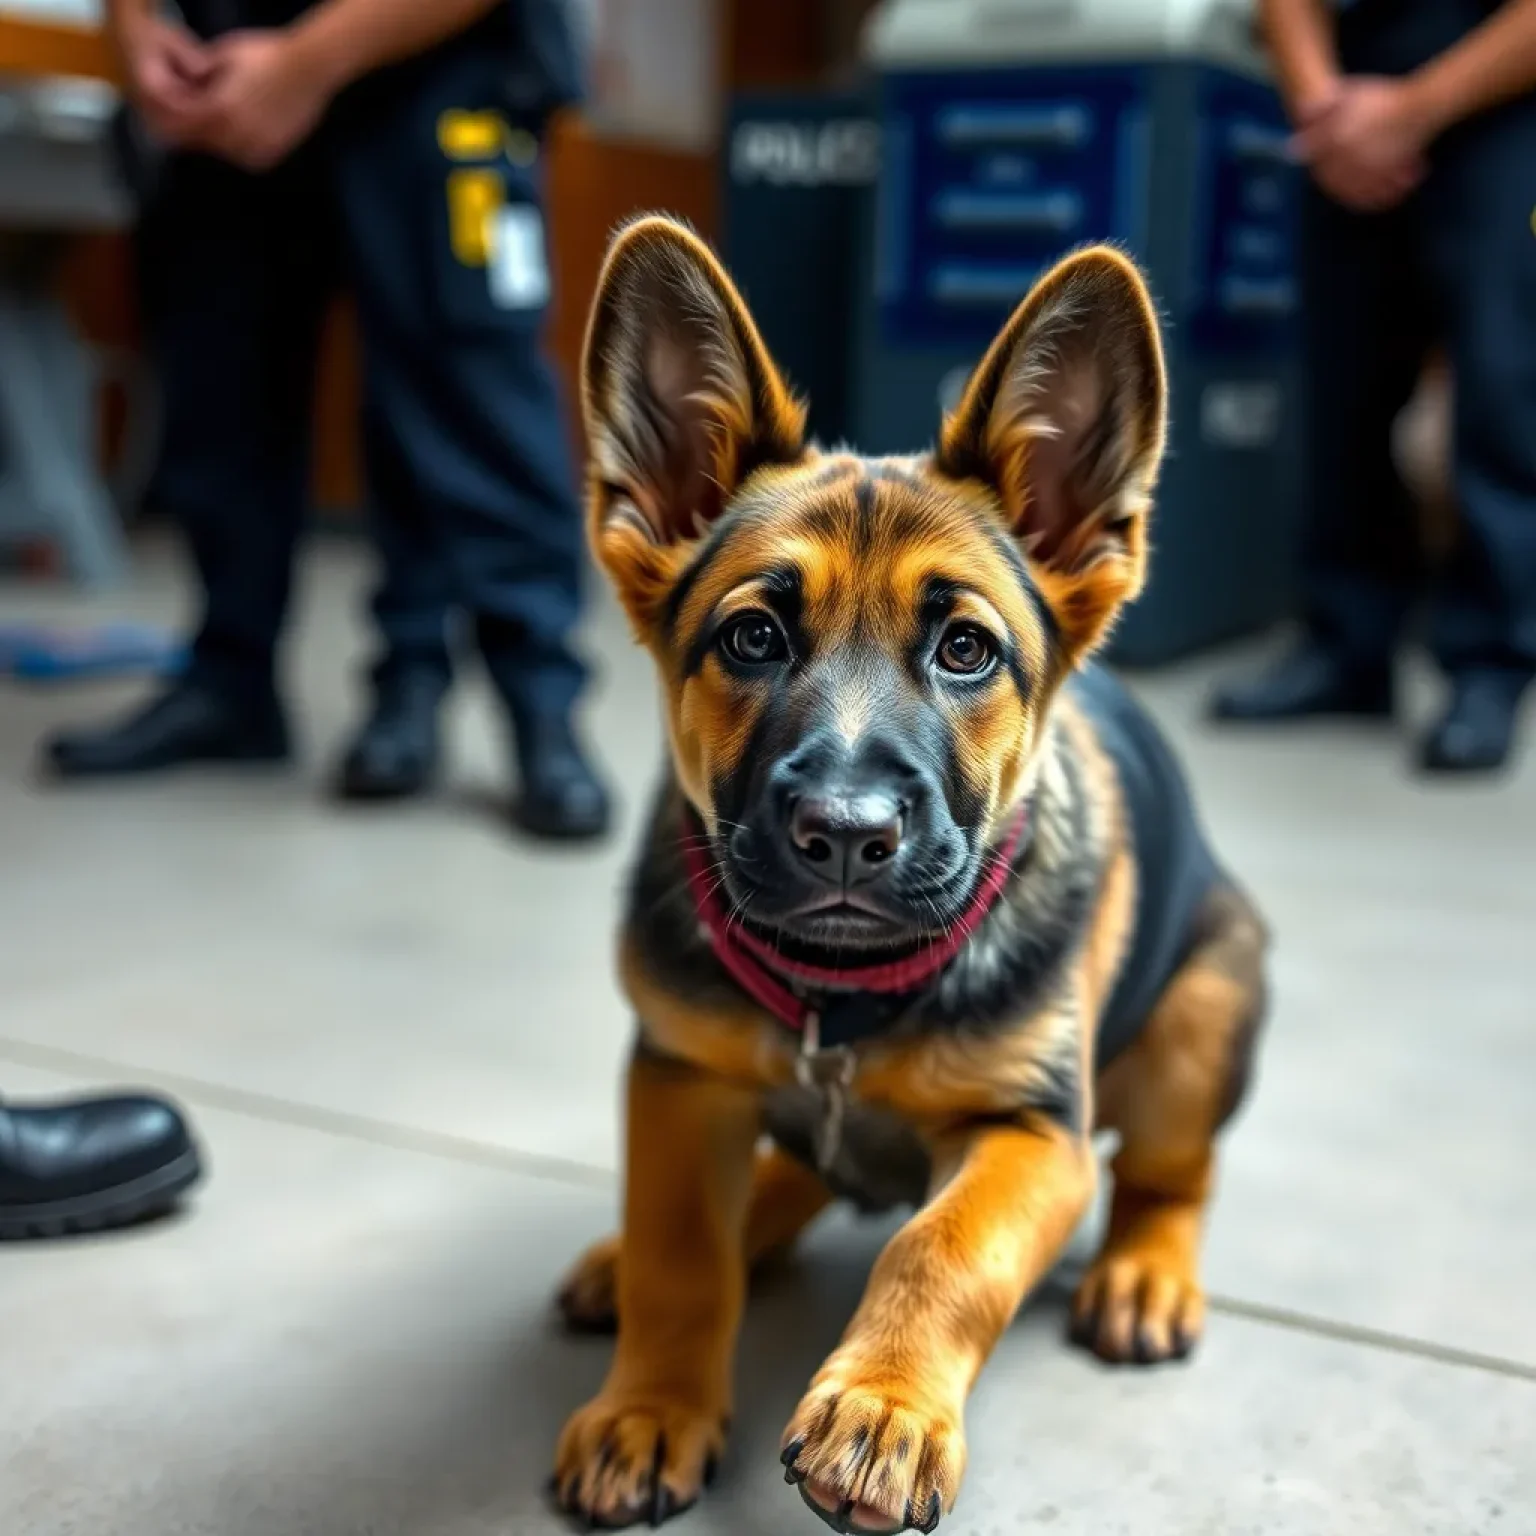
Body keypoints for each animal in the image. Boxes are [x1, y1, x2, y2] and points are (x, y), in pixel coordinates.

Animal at [552, 216, 1271, 1536]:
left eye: (966, 650)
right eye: (752, 638)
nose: (844, 832)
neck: (842, 1000)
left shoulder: (1030, 1133)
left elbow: (941, 1252)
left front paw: (882, 1407)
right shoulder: (678, 1078)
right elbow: (684, 1252)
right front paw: (652, 1402)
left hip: (1200, 1022)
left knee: (1169, 1173)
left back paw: (1146, 1271)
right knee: (784, 1182)